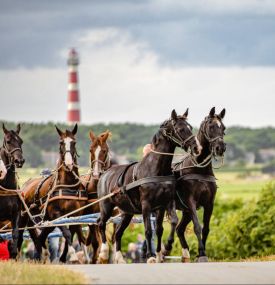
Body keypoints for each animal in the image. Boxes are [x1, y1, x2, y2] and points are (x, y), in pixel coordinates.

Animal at [18, 123, 86, 260]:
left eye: (74, 142)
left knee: (40, 239)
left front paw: (65, 257)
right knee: (24, 236)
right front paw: (73, 255)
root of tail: (25, 186)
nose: (69, 163)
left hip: (46, 221)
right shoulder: (56, 214)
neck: (68, 186)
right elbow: (67, 234)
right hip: (26, 217)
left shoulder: (74, 214)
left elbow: (72, 234)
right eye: (61, 142)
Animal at [97, 108, 203, 262]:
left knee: (118, 233)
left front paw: (164, 249)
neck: (156, 169)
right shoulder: (146, 204)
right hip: (106, 205)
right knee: (101, 223)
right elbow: (148, 230)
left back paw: (120, 258)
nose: (196, 148)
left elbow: (166, 225)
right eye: (180, 129)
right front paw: (151, 256)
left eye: (190, 127)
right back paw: (104, 253)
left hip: (127, 212)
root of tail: (105, 173)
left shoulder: (165, 204)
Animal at [164, 106, 226, 262]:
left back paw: (185, 253)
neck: (199, 169)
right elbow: (197, 226)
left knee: (179, 229)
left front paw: (201, 253)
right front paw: (201, 253)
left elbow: (206, 228)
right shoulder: (191, 201)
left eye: (223, 128)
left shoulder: (209, 203)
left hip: (185, 211)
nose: (220, 148)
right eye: (211, 127)